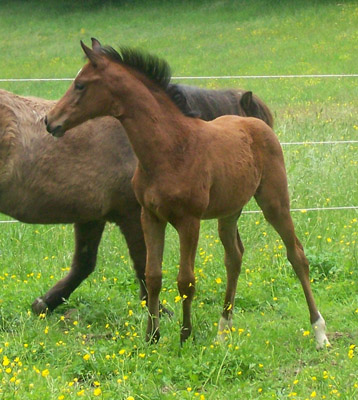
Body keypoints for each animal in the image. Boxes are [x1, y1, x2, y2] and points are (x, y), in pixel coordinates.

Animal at [0, 86, 272, 314]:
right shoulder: (135, 216)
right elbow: (144, 263)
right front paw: (158, 310)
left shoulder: (91, 217)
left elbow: (83, 264)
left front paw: (44, 303)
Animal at [46, 39, 328, 348]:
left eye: (80, 85)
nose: (49, 121)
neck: (170, 149)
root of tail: (257, 123)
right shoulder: (150, 217)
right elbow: (152, 276)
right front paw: (152, 337)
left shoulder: (188, 220)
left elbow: (186, 280)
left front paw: (185, 336)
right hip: (229, 211)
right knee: (234, 257)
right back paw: (223, 330)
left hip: (274, 202)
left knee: (296, 254)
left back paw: (320, 332)